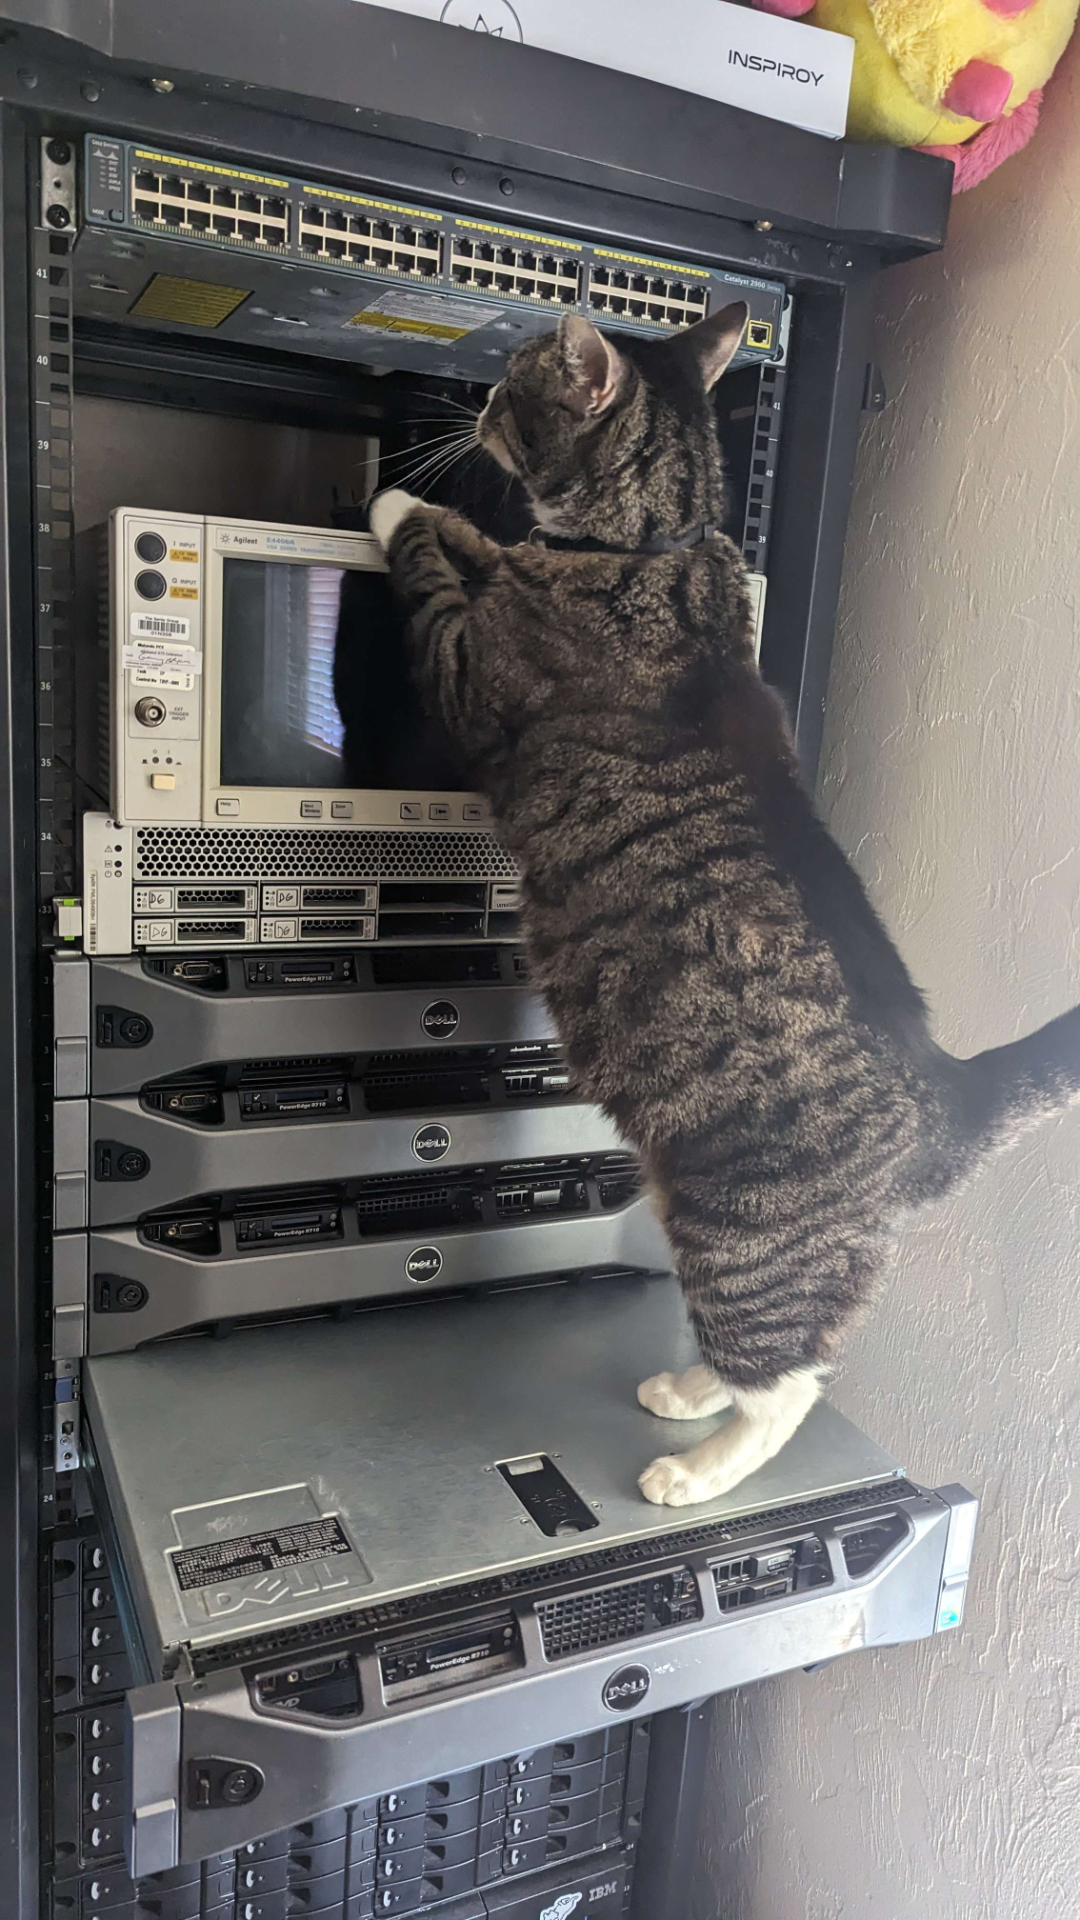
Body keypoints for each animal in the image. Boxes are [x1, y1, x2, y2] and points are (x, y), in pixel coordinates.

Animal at [368, 304, 1080, 1508]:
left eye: (512, 385)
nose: (472, 399)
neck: (652, 544)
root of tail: (948, 1102)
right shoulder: (515, 571)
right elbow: (477, 542)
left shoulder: (469, 666)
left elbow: (433, 556)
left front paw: (389, 503)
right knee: (783, 1354)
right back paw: (685, 1391)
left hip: (740, 1235)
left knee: (788, 1383)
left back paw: (693, 1468)